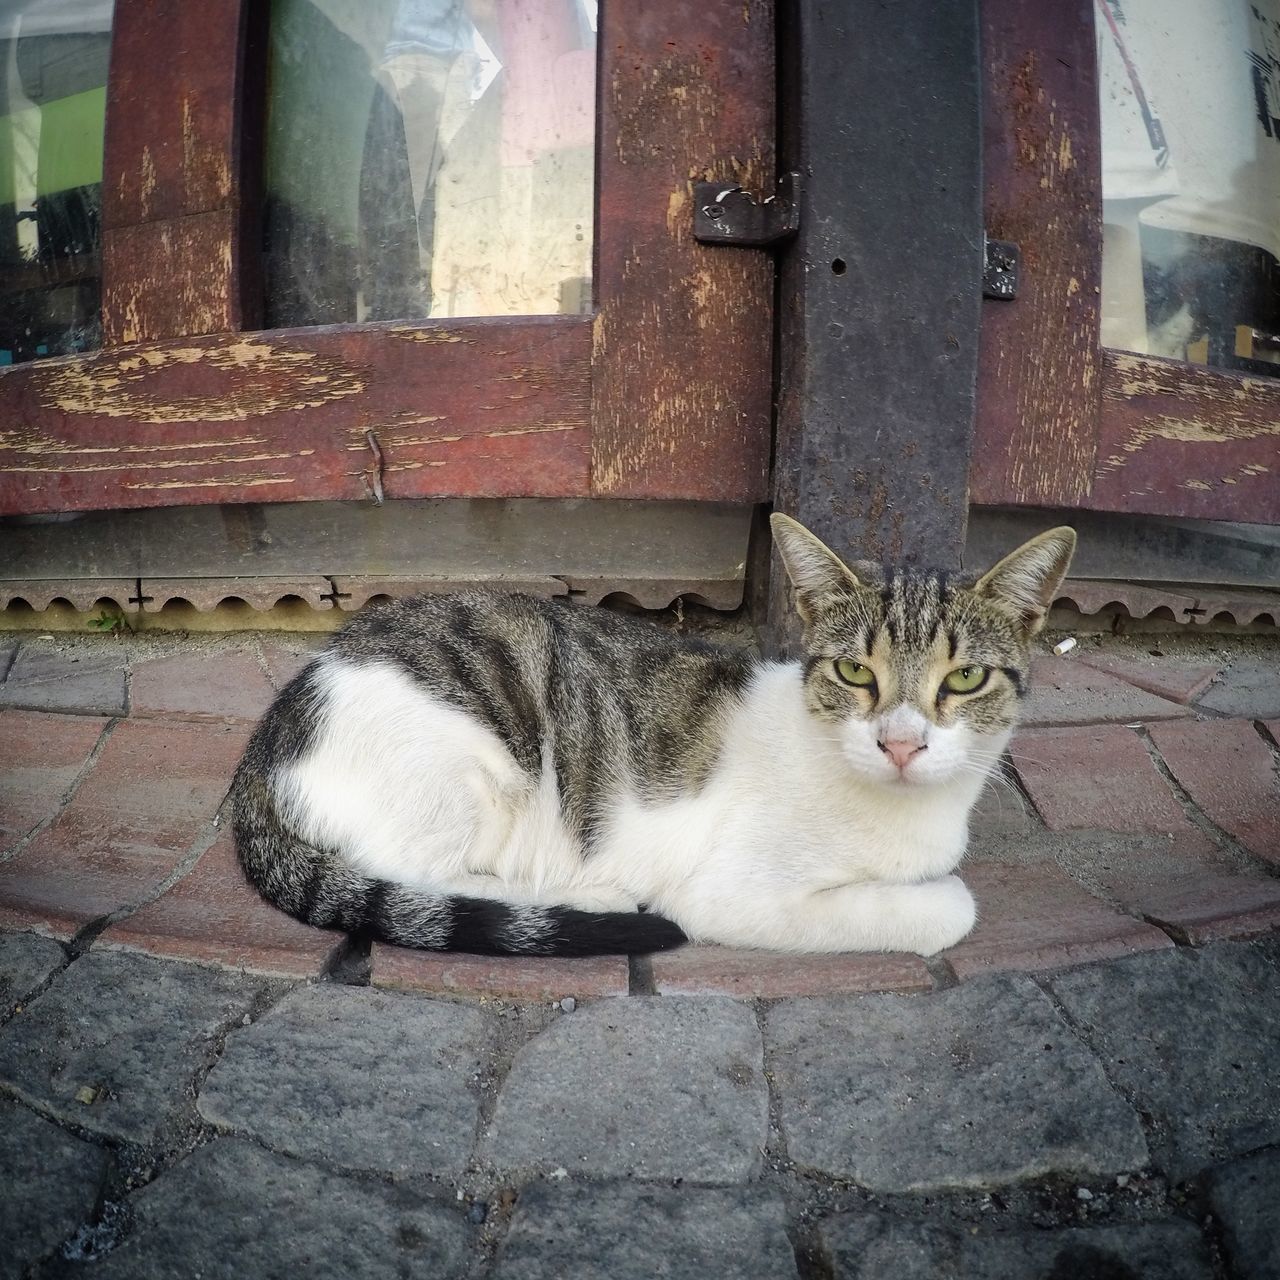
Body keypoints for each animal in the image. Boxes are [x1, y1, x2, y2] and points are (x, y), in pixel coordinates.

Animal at [230, 514, 1070, 957]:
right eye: (854, 672)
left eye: (965, 679)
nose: (900, 742)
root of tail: (263, 748)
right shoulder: (732, 894)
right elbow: (950, 906)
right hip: (468, 764)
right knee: (418, 876)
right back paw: (594, 898)